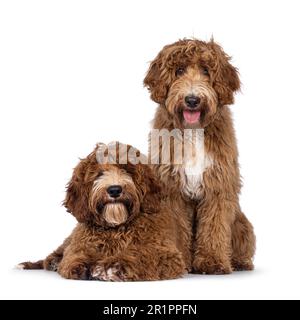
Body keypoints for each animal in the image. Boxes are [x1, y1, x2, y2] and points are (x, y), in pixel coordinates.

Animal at [19, 142, 185, 280]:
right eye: (99, 173)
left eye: (126, 170)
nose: (114, 190)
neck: (116, 228)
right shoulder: (81, 244)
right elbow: (73, 256)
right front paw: (81, 264)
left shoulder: (164, 252)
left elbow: (142, 254)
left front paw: (112, 266)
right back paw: (53, 261)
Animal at [145, 38, 255, 274]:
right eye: (178, 70)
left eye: (206, 70)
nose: (192, 99)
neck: (193, 130)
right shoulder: (172, 189)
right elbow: (178, 226)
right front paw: (181, 260)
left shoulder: (218, 186)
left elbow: (214, 226)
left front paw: (212, 262)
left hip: (242, 224)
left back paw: (240, 262)